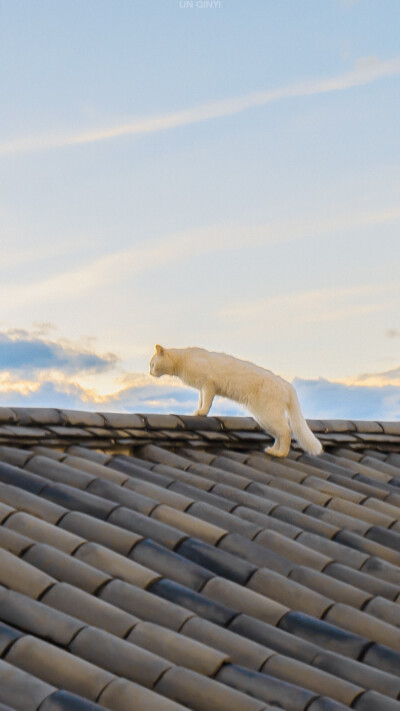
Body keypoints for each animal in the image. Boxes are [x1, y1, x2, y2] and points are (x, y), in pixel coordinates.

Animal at [149, 346, 322, 458]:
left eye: (152, 364)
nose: (149, 373)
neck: (182, 361)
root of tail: (287, 385)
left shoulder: (208, 384)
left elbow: (207, 402)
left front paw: (202, 413)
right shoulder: (201, 388)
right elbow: (201, 401)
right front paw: (198, 411)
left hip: (268, 415)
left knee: (286, 431)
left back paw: (280, 454)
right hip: (264, 419)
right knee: (280, 434)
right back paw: (272, 450)